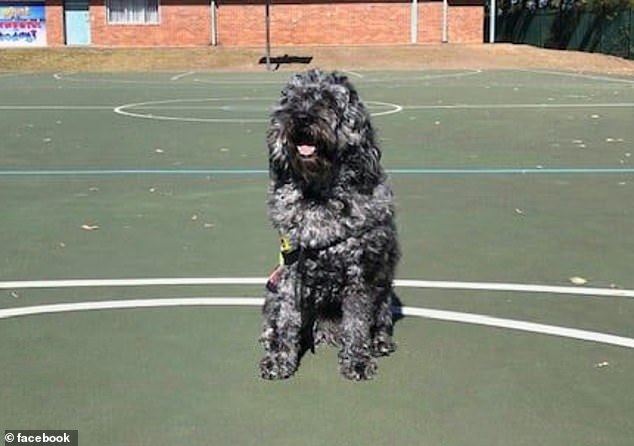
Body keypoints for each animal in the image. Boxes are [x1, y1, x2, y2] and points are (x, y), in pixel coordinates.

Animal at [256, 69, 396, 380]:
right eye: (294, 100)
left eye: (329, 102)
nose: (302, 118)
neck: (318, 194)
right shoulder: (291, 271)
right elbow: (287, 321)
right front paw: (280, 358)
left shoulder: (360, 275)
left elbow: (356, 324)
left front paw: (357, 360)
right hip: (272, 289)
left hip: (384, 292)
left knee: (379, 321)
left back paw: (380, 342)